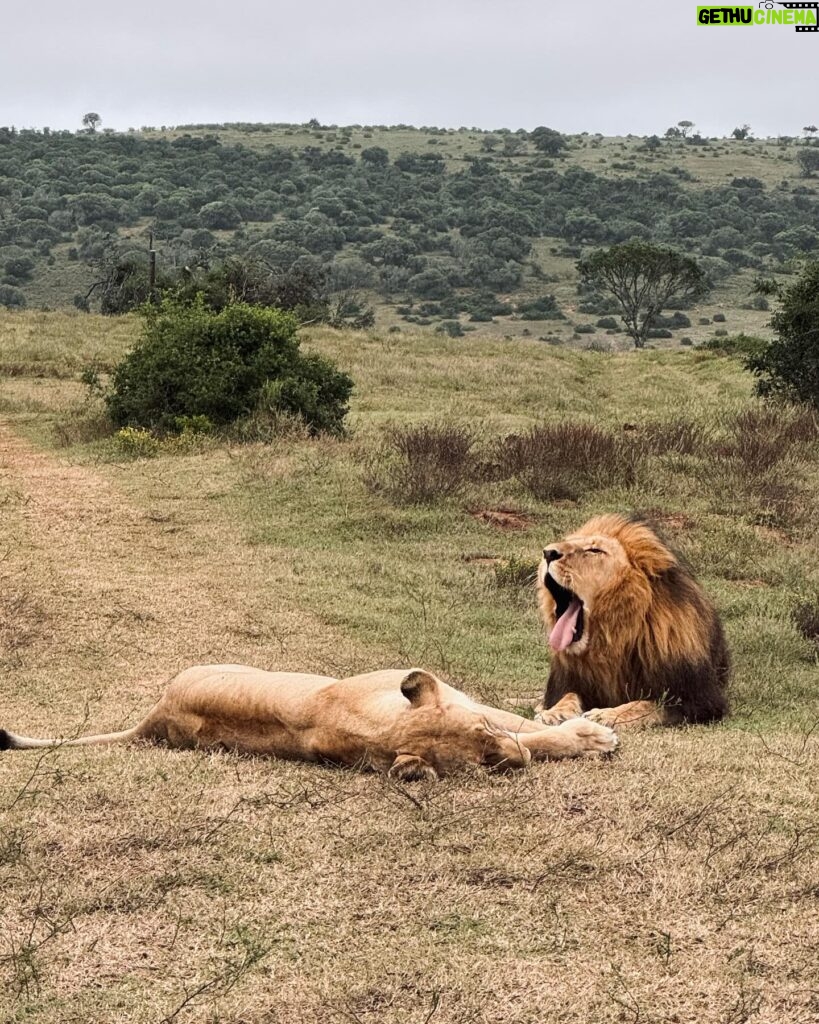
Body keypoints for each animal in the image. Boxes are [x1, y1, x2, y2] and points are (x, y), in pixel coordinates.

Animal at [536, 512, 728, 729]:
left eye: (594, 550)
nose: (548, 553)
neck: (613, 639)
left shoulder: (698, 701)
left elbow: (646, 705)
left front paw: (606, 715)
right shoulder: (570, 682)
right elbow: (569, 695)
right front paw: (554, 712)